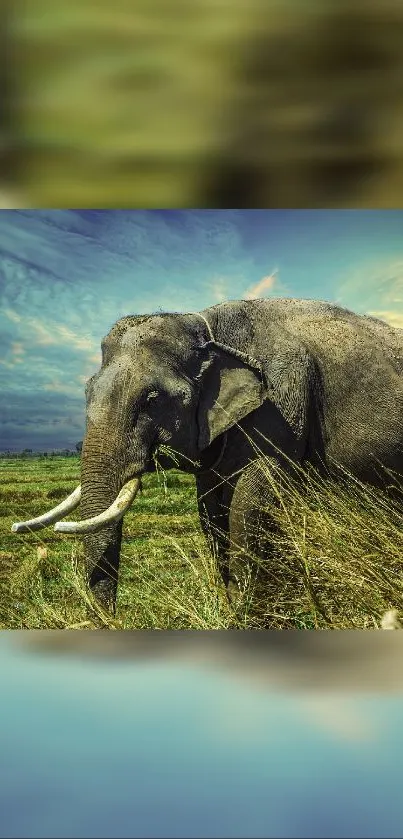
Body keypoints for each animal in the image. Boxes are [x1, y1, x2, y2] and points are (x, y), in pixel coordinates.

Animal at [11, 296, 403, 616]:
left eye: (152, 399)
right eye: (87, 391)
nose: (110, 620)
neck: (205, 326)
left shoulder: (282, 406)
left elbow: (249, 503)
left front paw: (250, 613)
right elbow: (210, 510)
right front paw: (233, 607)